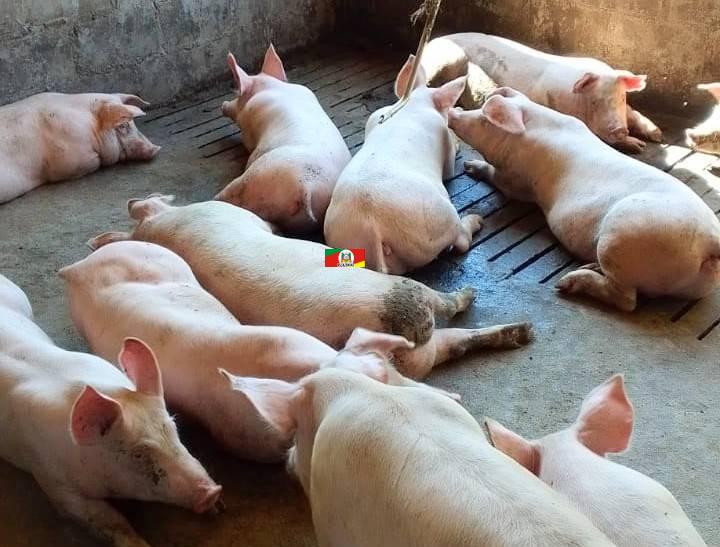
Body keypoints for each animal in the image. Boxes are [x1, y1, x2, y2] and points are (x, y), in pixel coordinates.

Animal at [0, 274, 221, 547]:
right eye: (139, 453)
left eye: (173, 428)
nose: (212, 492)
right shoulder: (51, 477)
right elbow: (106, 519)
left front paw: (218, 509)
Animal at [89, 194, 532, 380]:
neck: (156, 227)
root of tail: (402, 331)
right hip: (402, 291)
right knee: (447, 309)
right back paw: (473, 294)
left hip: (418, 354)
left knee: (454, 343)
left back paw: (521, 332)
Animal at [324, 55, 483, 274]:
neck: (413, 104)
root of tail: (372, 226)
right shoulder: (446, 150)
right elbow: (450, 167)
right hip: (436, 221)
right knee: (460, 242)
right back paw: (477, 220)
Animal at [422, 33, 662, 153]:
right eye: (595, 102)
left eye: (621, 97)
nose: (619, 129)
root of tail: (431, 42)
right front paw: (638, 146)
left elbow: (632, 112)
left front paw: (656, 136)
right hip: (446, 61)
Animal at [450, 88, 720, 311]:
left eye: (485, 119)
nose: (454, 111)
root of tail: (711, 240)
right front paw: (469, 165)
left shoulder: (516, 180)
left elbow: (501, 181)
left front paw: (470, 166)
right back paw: (588, 268)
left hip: (622, 238)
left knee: (627, 301)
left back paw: (566, 283)